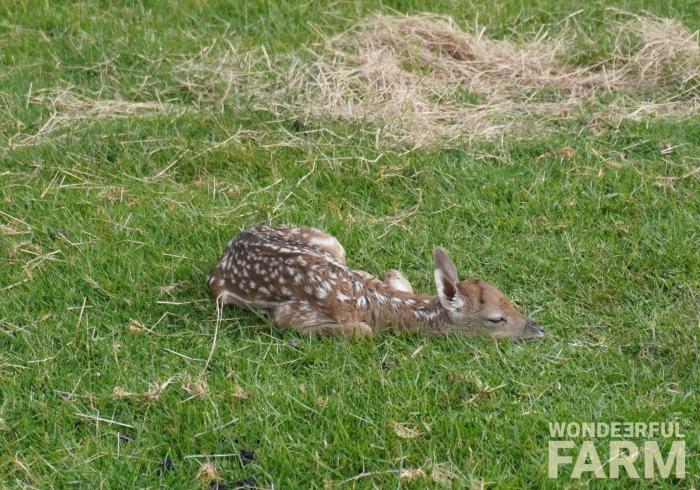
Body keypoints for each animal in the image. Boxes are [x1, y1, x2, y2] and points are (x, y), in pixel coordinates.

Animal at [205, 226, 544, 340]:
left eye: (509, 299)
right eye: (496, 319)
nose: (539, 328)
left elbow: (394, 272)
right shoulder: (292, 314)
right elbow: (363, 332)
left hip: (332, 242)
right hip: (221, 292)